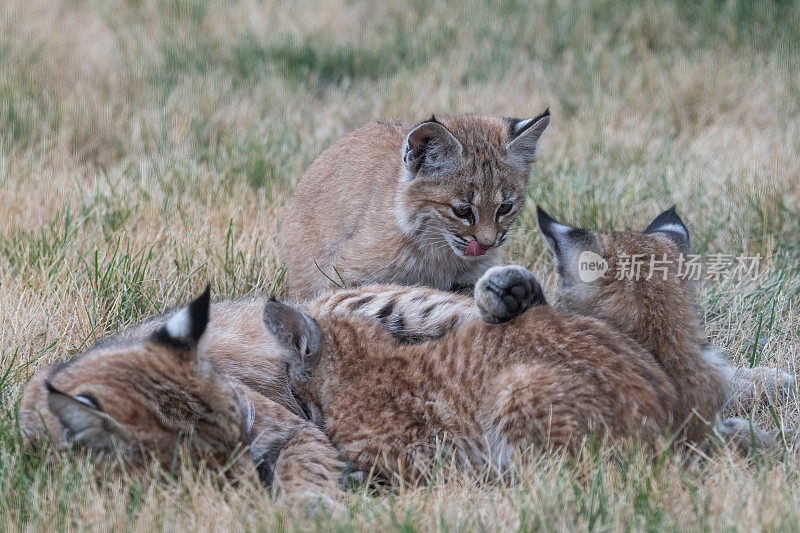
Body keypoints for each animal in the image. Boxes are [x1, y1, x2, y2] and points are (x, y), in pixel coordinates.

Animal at [282, 111, 552, 300]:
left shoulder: (471, 280)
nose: (487, 245)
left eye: (505, 208)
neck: (438, 253)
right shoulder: (341, 276)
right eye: (462, 210)